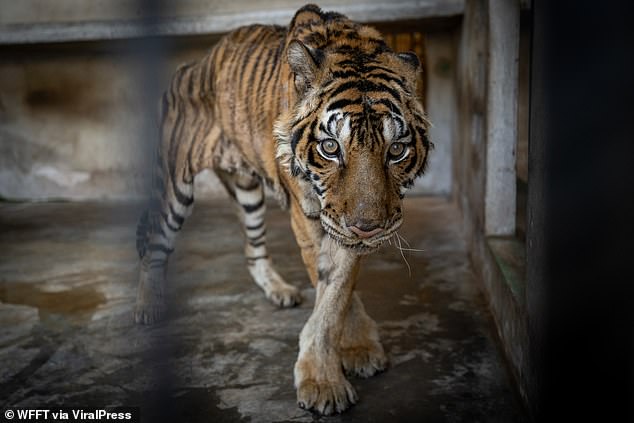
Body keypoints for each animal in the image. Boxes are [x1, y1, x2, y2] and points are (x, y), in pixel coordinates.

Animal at [133, 3, 430, 418]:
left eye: (397, 150)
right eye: (330, 147)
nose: (367, 228)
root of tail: (192, 64)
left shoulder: (338, 225)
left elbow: (337, 295)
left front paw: (356, 349)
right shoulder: (313, 218)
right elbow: (331, 299)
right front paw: (324, 383)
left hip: (248, 193)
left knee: (252, 249)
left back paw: (278, 290)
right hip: (175, 185)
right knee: (155, 243)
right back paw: (148, 305)